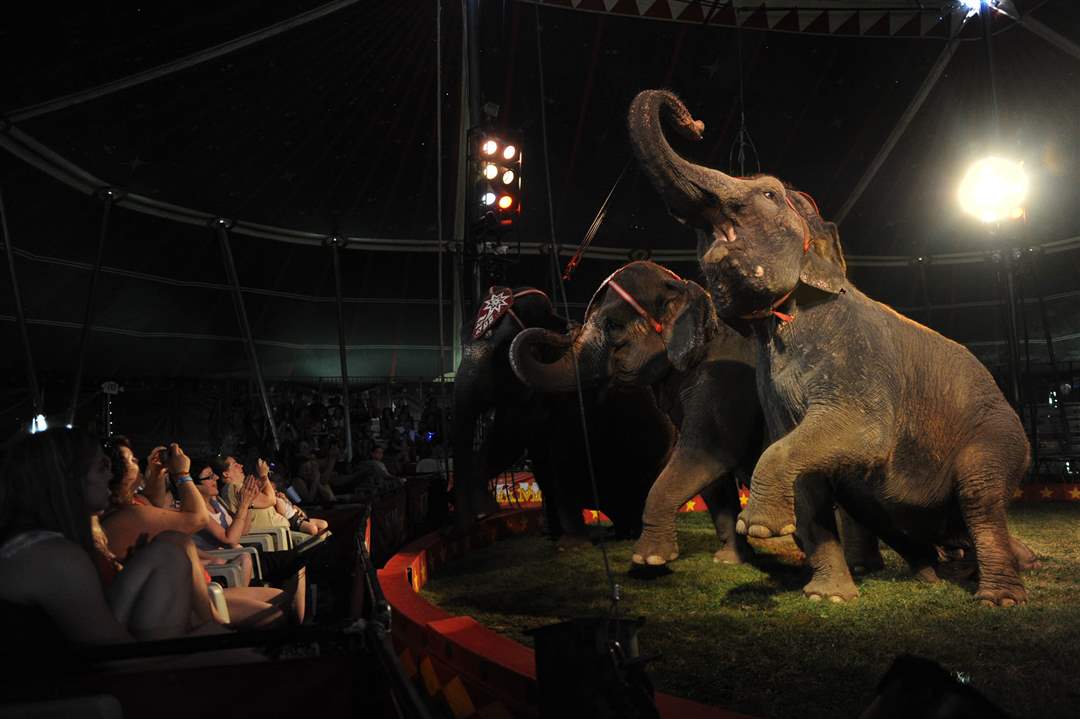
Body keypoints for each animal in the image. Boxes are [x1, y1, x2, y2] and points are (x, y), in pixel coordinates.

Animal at [451, 285, 675, 540]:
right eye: (461, 338)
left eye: (502, 348)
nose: (474, 521)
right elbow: (505, 443)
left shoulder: (571, 395)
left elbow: (561, 457)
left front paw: (577, 537)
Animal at [510, 260, 887, 574]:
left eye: (612, 325)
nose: (558, 327)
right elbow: (713, 480)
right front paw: (730, 560)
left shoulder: (720, 385)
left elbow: (705, 456)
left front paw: (649, 560)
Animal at [627, 88, 1033, 606]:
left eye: (768, 194)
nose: (693, 123)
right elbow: (804, 473)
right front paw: (829, 597)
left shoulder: (859, 358)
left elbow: (861, 434)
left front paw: (761, 527)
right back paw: (938, 573)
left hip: (1002, 435)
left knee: (981, 493)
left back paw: (998, 596)